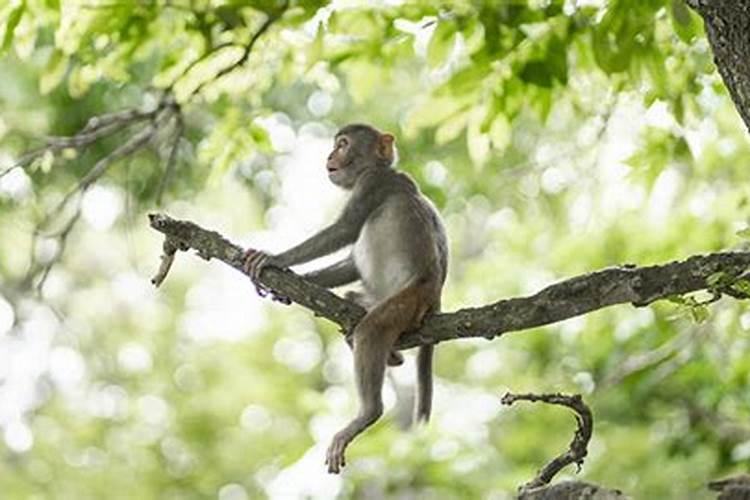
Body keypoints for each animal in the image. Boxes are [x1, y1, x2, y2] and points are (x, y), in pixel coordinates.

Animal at [245, 123, 446, 474]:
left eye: (343, 144)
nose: (329, 156)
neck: (378, 168)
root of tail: (434, 297)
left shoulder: (371, 184)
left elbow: (345, 229)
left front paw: (276, 259)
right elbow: (351, 262)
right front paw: (298, 282)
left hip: (409, 300)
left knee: (372, 330)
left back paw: (367, 413)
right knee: (356, 308)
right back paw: (392, 356)